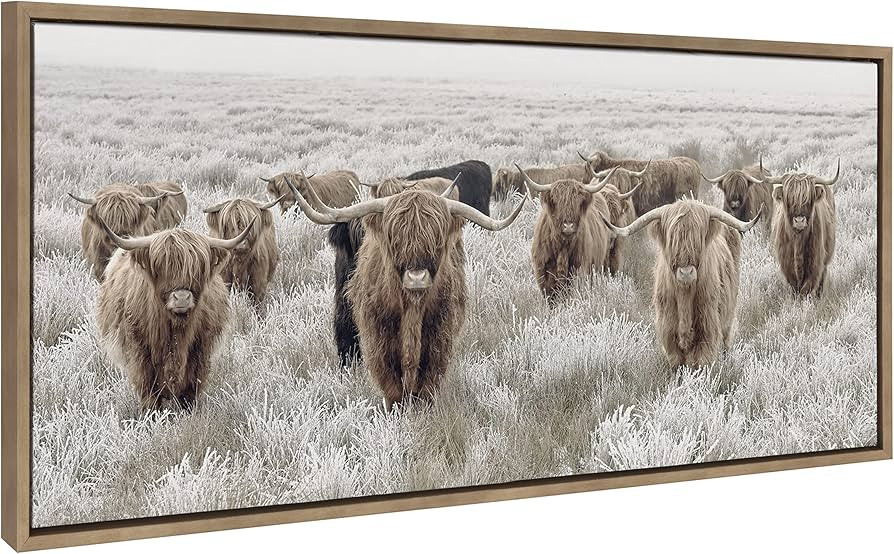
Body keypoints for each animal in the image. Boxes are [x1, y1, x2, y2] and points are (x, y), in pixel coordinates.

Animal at [95, 215, 254, 410]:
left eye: (198, 268)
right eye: (161, 267)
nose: (182, 298)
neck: (176, 330)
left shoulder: (201, 348)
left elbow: (191, 386)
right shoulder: (140, 349)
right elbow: (148, 387)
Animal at [286, 175, 526, 408]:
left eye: (436, 240)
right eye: (395, 238)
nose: (416, 277)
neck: (412, 307)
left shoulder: (440, 333)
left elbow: (429, 378)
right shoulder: (378, 334)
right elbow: (390, 379)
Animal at [519, 165, 620, 304]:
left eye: (578, 202)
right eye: (556, 202)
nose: (568, 226)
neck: (562, 248)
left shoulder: (579, 270)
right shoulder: (543, 273)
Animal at [602, 198, 762, 368]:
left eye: (698, 237)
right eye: (672, 239)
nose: (686, 272)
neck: (684, 295)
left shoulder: (708, 328)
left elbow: (701, 363)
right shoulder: (668, 331)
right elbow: (677, 363)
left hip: (728, 316)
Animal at [765, 160, 839, 297]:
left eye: (809, 199)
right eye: (788, 199)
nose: (799, 221)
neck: (798, 240)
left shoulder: (815, 263)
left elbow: (806, 289)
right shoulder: (787, 265)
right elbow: (795, 289)